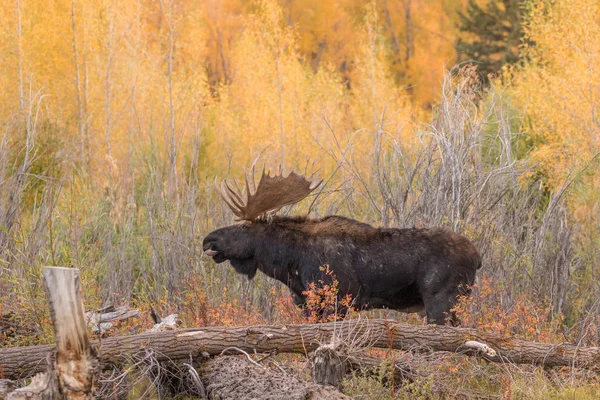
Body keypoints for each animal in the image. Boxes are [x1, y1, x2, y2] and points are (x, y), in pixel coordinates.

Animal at [204, 170, 480, 324]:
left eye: (243, 227)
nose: (209, 240)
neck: (291, 264)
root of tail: (478, 257)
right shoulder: (306, 303)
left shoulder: (338, 299)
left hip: (441, 300)